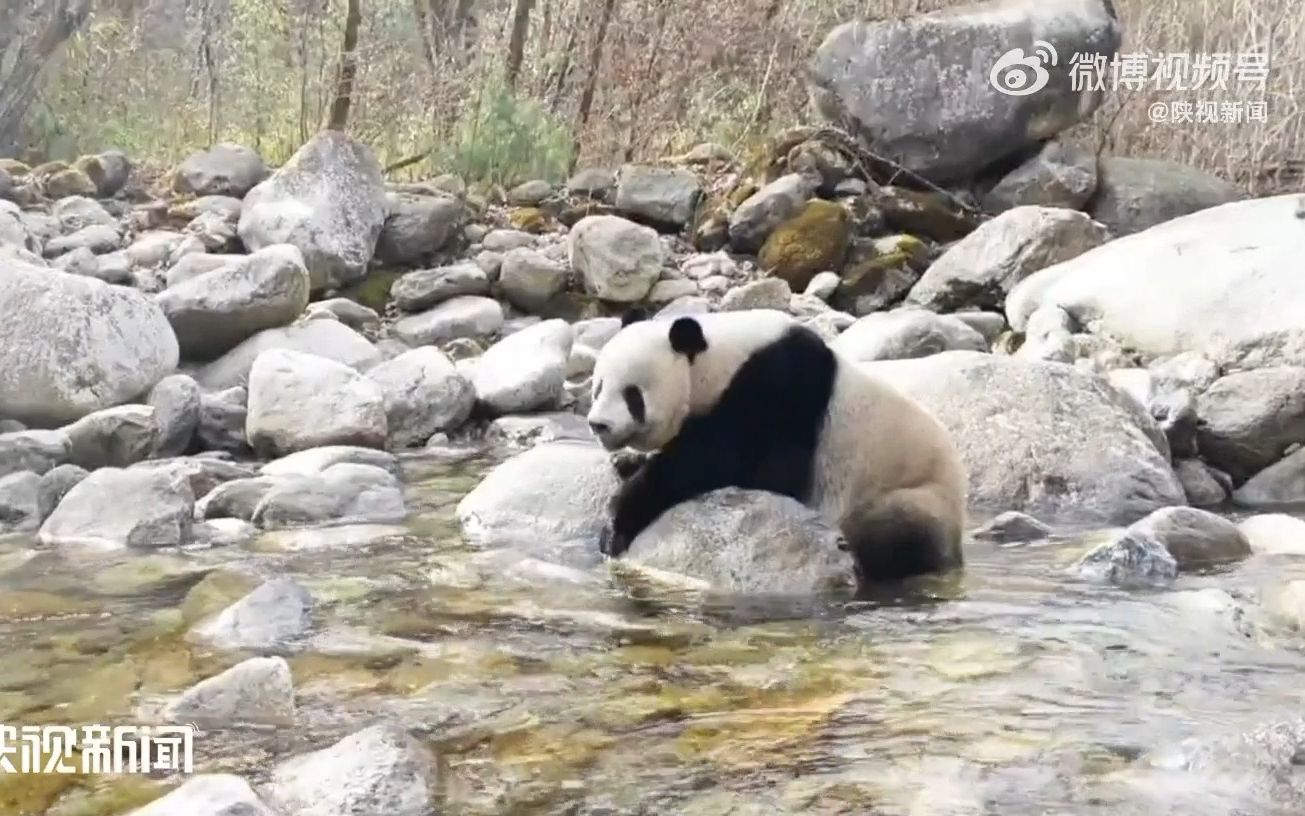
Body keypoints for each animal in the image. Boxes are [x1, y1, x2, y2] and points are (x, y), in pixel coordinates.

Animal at [587, 308, 965, 582]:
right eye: (598, 386)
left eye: (632, 394)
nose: (598, 424)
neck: (721, 360)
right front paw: (627, 464)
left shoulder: (780, 389)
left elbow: (731, 463)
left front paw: (617, 522)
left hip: (908, 490)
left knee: (895, 534)